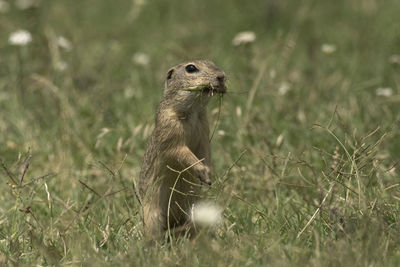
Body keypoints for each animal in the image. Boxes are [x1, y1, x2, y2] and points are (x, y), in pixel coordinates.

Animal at [138, 59, 225, 240]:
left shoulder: (204, 129)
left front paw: (208, 174)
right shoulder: (169, 129)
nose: (221, 76)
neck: (193, 112)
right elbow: (180, 151)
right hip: (152, 215)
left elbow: (205, 152)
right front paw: (202, 171)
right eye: (191, 68)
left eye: (212, 62)